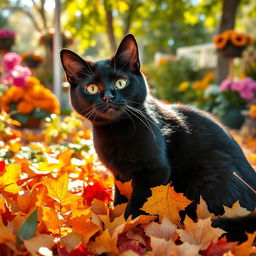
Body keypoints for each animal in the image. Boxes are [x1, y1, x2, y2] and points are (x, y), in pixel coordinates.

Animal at [60, 33, 256, 240]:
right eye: (91, 88)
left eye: (121, 82)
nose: (108, 97)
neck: (115, 131)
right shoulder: (120, 175)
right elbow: (119, 198)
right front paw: (115, 219)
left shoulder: (154, 171)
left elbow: (136, 206)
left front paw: (122, 228)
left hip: (212, 170)